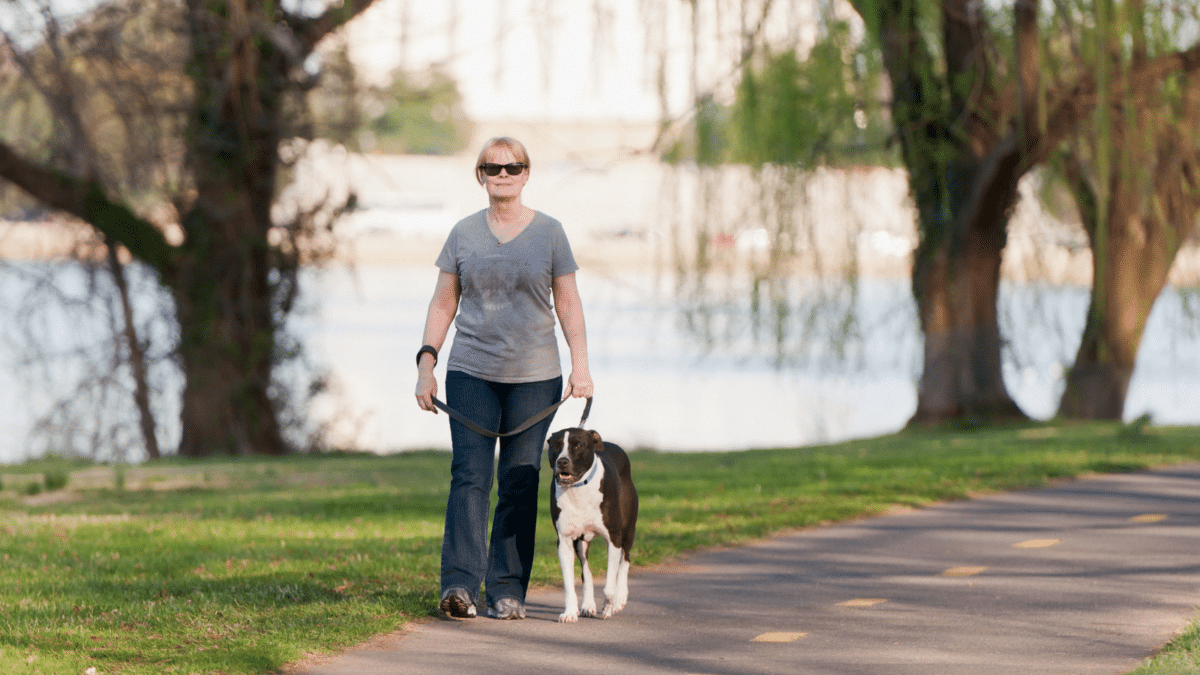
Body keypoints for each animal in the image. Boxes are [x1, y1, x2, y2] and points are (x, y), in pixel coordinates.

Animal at [547, 425, 638, 619]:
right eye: (556, 446)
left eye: (577, 445)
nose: (562, 461)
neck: (578, 488)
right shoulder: (565, 541)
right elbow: (569, 583)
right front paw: (570, 612)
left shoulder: (613, 538)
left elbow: (609, 585)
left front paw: (610, 605)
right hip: (581, 542)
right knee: (586, 570)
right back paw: (588, 605)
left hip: (628, 531)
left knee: (625, 560)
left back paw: (620, 598)